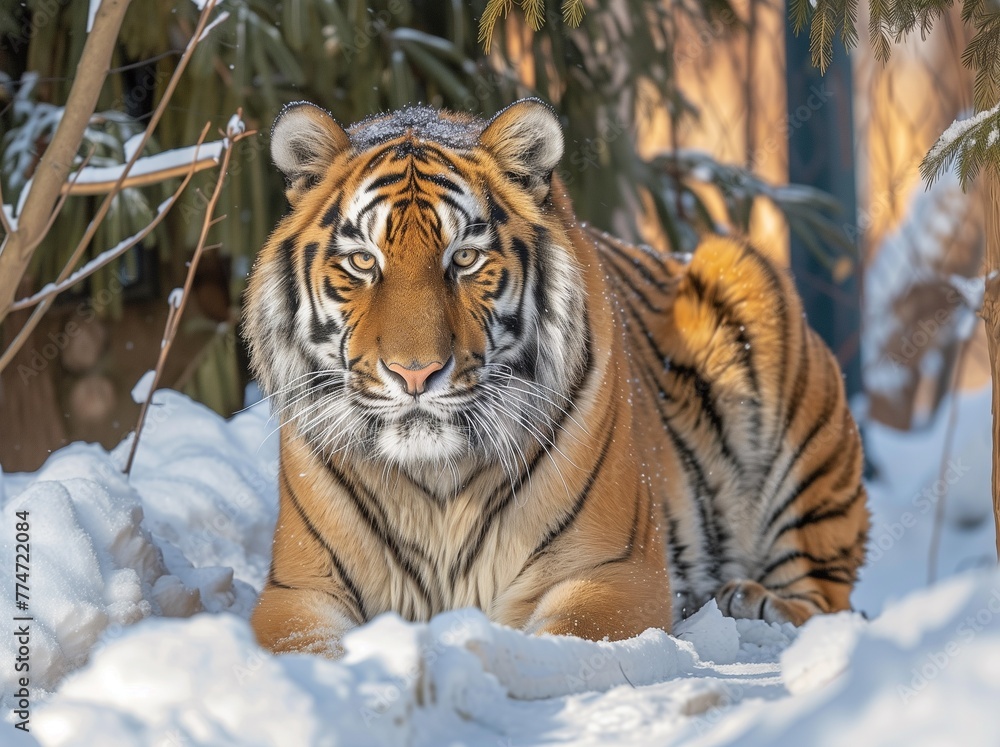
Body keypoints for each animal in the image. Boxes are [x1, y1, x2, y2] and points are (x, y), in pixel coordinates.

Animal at [243, 98, 869, 655]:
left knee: (826, 599)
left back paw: (752, 603)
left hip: (749, 295)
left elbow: (559, 644)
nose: (414, 373)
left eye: (464, 258)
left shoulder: (613, 573)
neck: (436, 486)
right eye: (363, 261)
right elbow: (306, 653)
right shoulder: (298, 591)